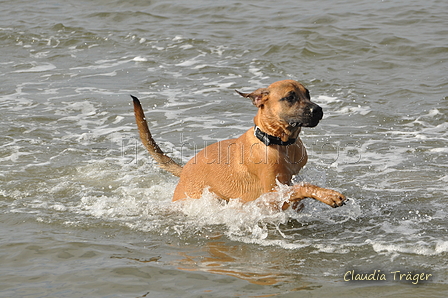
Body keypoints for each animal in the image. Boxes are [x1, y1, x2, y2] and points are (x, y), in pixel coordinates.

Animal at [131, 79, 344, 210]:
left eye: (308, 94)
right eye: (290, 97)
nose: (319, 110)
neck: (280, 144)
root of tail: (184, 170)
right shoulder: (270, 196)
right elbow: (303, 186)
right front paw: (329, 195)